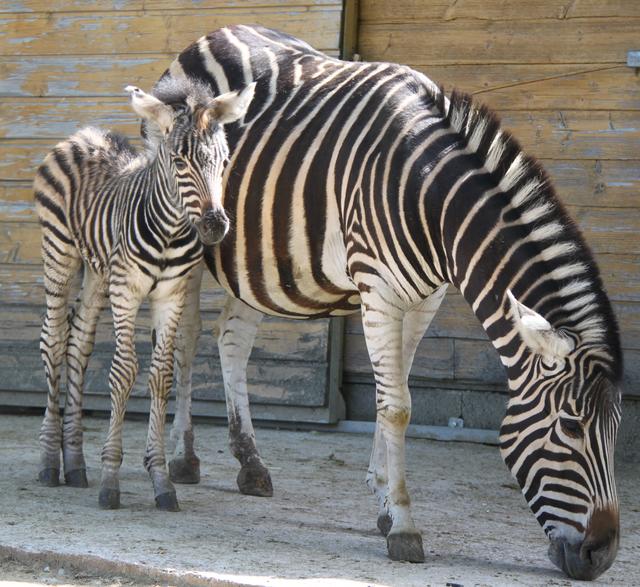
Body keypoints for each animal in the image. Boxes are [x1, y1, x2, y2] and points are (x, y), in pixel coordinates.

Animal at [34, 76, 254, 511]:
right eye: (180, 162)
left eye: (224, 163)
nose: (215, 226)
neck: (170, 230)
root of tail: (85, 134)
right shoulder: (127, 290)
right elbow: (123, 372)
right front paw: (111, 480)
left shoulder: (170, 296)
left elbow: (160, 377)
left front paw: (161, 479)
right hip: (60, 253)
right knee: (53, 343)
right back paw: (50, 462)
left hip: (97, 273)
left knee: (77, 346)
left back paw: (75, 463)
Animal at [160, 26, 622, 579]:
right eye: (571, 427)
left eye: (618, 429)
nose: (603, 556)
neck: (431, 197)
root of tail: (212, 34)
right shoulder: (378, 291)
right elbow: (397, 406)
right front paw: (403, 525)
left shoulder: (425, 299)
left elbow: (392, 396)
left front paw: (382, 503)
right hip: (190, 237)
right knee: (186, 340)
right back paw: (182, 460)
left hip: (261, 255)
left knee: (232, 339)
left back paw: (251, 465)